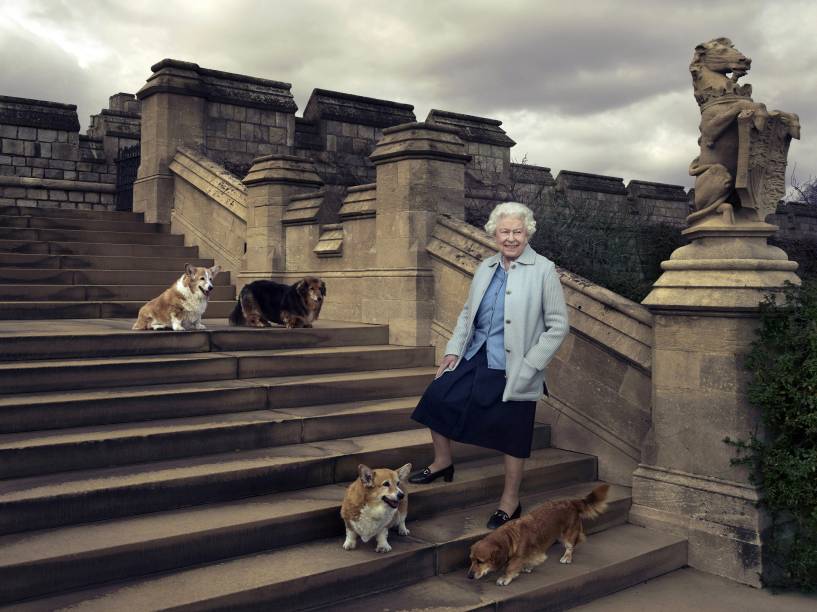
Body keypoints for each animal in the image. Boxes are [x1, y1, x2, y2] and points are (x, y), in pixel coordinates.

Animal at [466, 486, 604, 584]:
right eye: (471, 560)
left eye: (480, 561)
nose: (469, 576)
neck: (509, 537)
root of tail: (571, 502)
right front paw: (527, 566)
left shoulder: (518, 556)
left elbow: (511, 566)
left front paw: (505, 577)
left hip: (568, 535)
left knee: (571, 546)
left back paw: (567, 557)